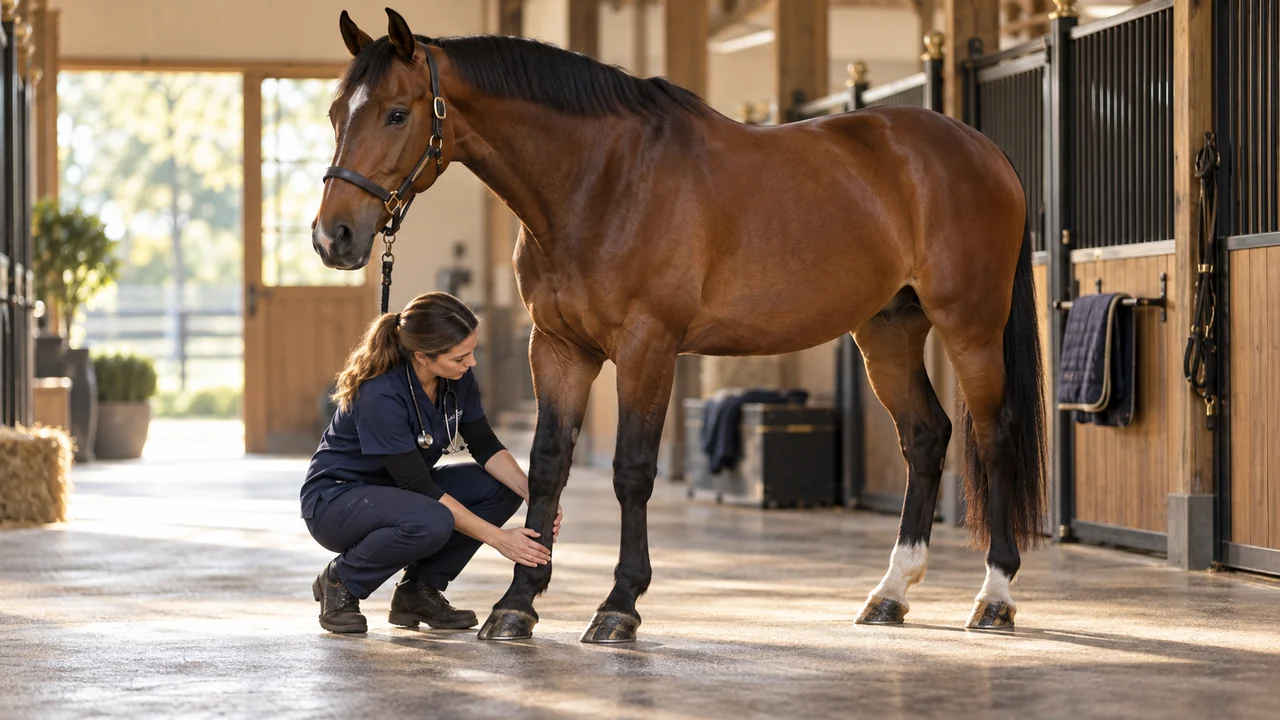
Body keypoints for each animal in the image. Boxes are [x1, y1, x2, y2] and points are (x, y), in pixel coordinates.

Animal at [312, 8, 1047, 644]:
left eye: (397, 113)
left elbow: (632, 470)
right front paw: (517, 604)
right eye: (334, 113)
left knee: (993, 436)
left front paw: (619, 606)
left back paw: (994, 598)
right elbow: (546, 467)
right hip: (887, 332)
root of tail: (983, 149)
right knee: (925, 436)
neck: (601, 180)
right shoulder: (558, 349)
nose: (332, 237)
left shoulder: (648, 345)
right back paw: (891, 593)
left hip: (971, 327)